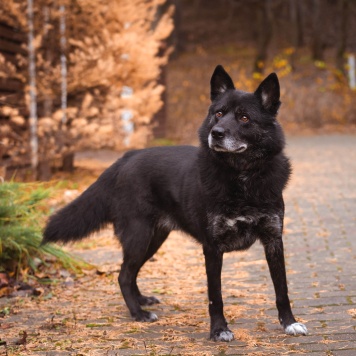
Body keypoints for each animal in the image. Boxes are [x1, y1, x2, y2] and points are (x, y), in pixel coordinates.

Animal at [43, 65, 306, 340]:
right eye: (218, 114)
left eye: (244, 118)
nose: (216, 133)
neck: (242, 179)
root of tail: (126, 158)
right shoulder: (212, 248)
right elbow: (215, 296)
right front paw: (219, 330)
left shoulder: (273, 240)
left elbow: (282, 289)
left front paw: (289, 323)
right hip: (139, 236)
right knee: (124, 275)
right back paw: (138, 313)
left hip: (153, 238)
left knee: (130, 272)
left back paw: (142, 301)